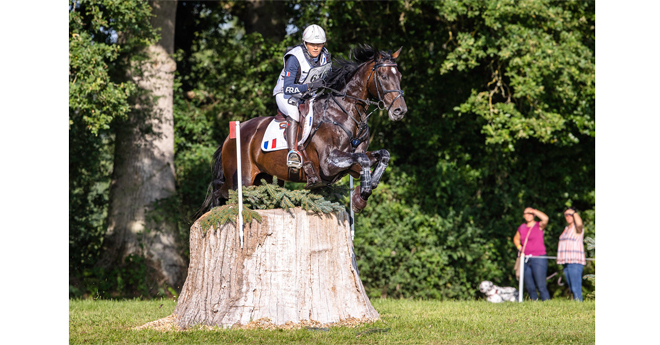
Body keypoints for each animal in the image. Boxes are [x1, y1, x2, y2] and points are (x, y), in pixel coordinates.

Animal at [195, 43, 408, 218]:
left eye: (399, 77)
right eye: (383, 76)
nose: (400, 111)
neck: (345, 113)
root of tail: (230, 137)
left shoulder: (350, 165)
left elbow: (382, 156)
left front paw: (362, 194)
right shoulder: (328, 163)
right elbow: (363, 159)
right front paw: (360, 197)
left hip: (261, 179)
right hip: (241, 180)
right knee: (219, 193)